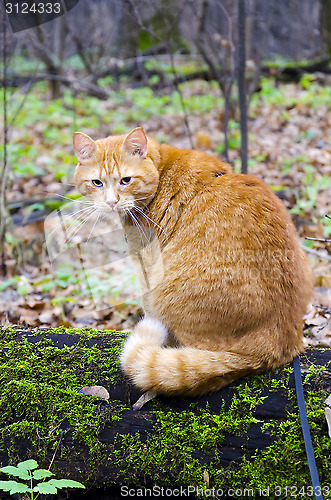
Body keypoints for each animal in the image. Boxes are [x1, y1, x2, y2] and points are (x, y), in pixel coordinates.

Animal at [73, 127, 314, 396]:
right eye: (97, 182)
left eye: (126, 180)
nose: (111, 202)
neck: (162, 170)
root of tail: (276, 345)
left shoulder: (147, 269)